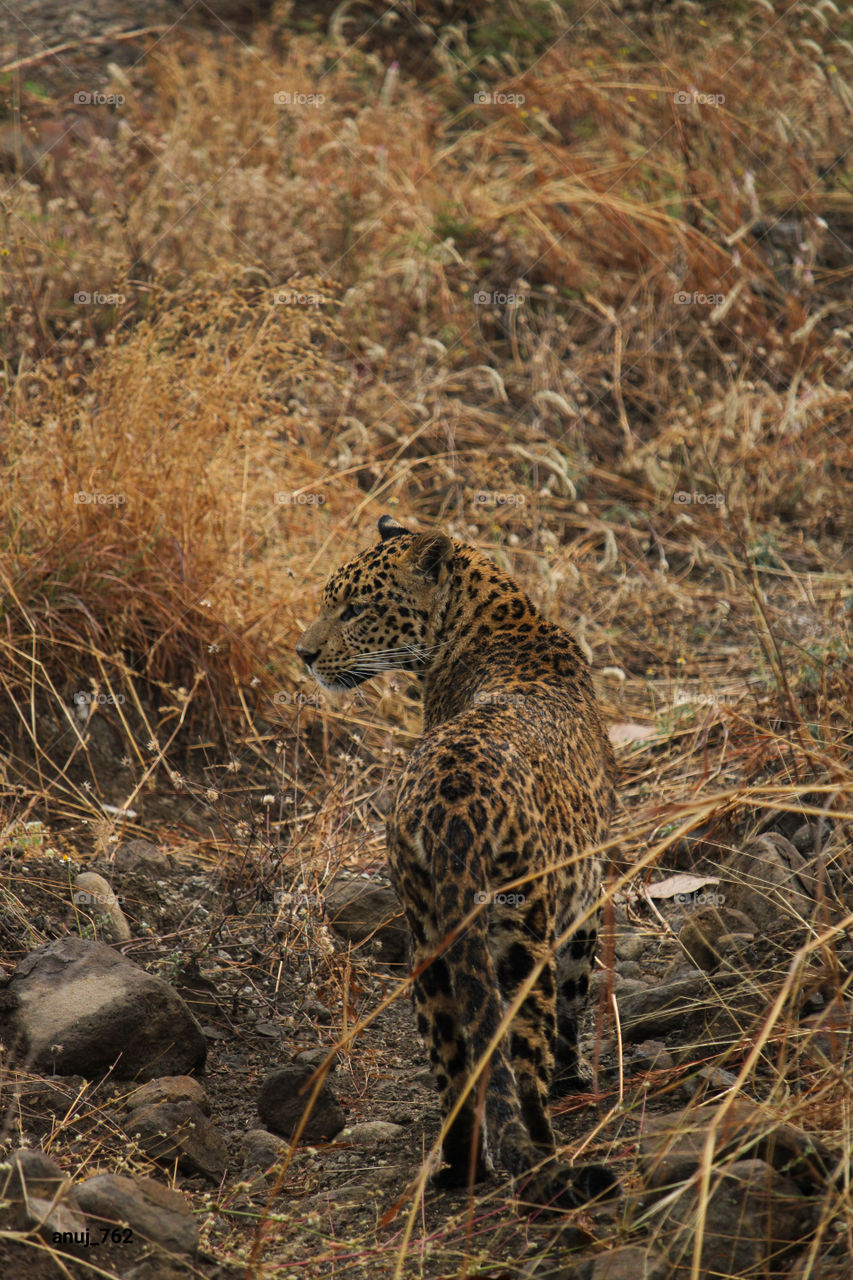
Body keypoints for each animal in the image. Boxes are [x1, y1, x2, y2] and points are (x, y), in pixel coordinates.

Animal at [296, 514, 619, 1210]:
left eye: (353, 608)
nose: (303, 655)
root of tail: (453, 811)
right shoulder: (586, 894)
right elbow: (577, 996)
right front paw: (578, 1074)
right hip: (520, 938)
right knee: (522, 1067)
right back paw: (546, 1164)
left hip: (428, 944)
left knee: (455, 1071)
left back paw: (458, 1170)